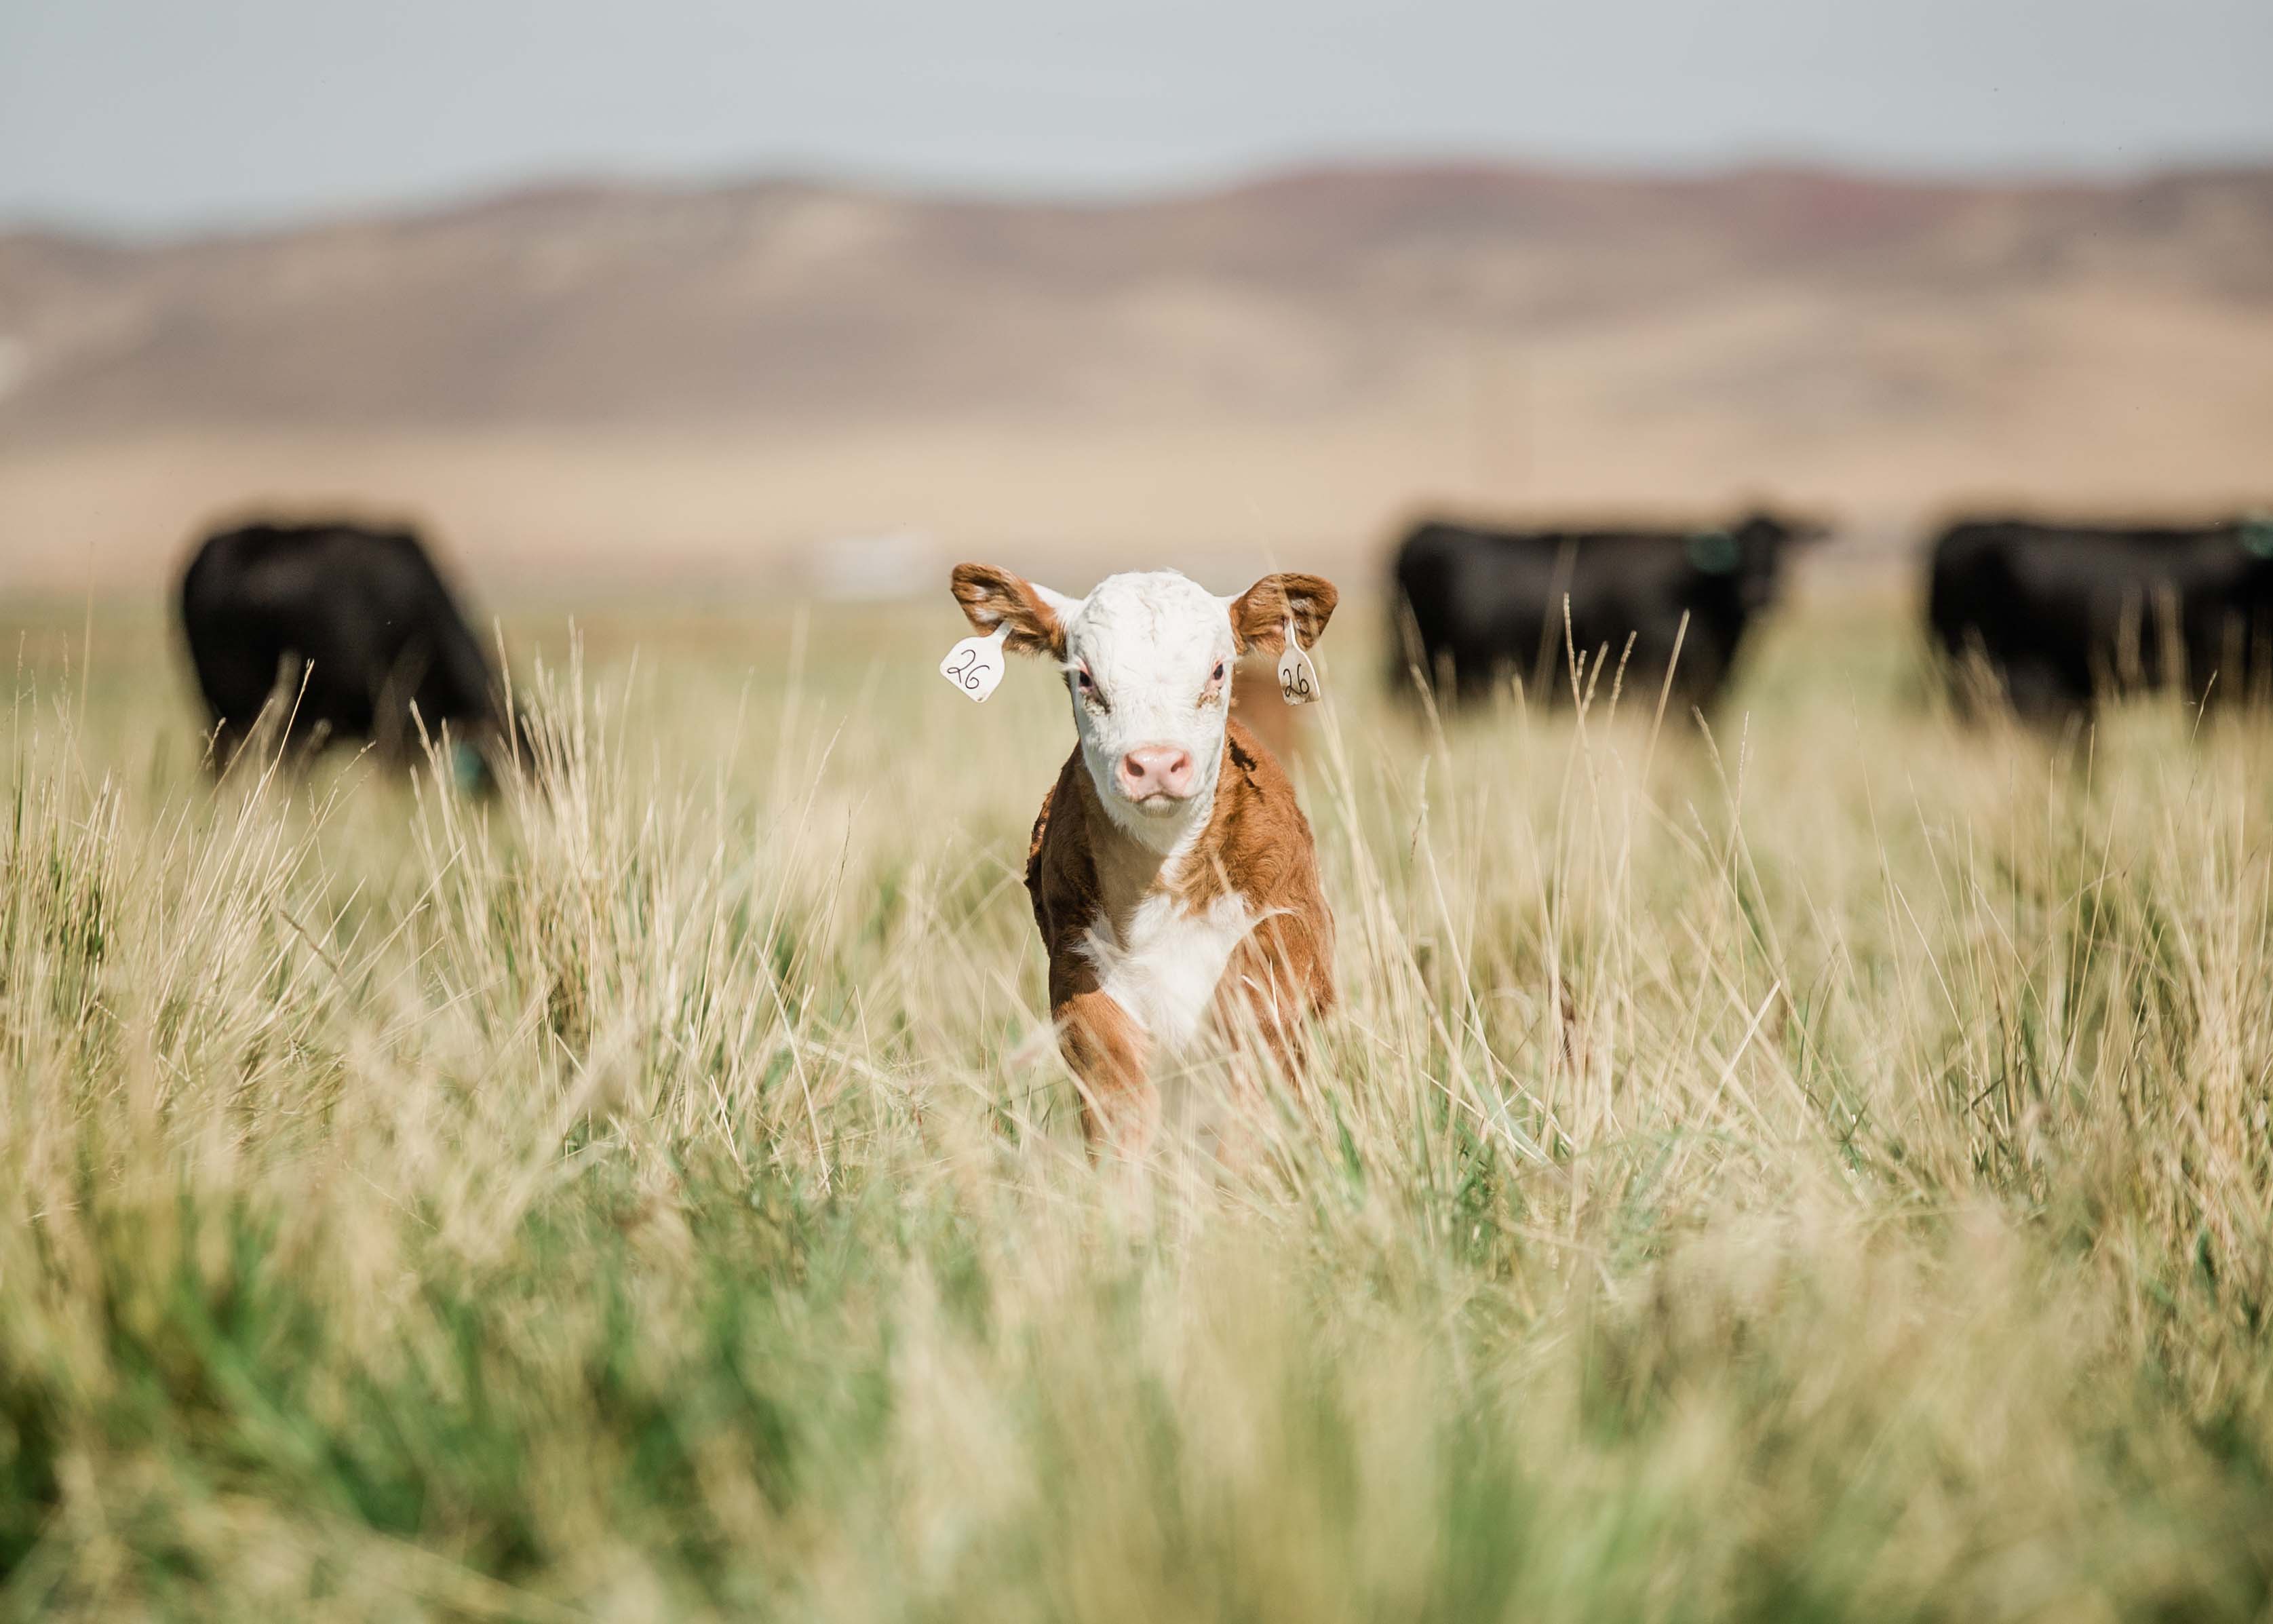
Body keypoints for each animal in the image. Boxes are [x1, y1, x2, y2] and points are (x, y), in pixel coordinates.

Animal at [950, 564, 1336, 1146]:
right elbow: (1116, 1089)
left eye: (1218, 671)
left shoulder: (1287, 928)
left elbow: (1251, 1023)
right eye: (1085, 677)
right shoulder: (1077, 965)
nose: (1155, 763)